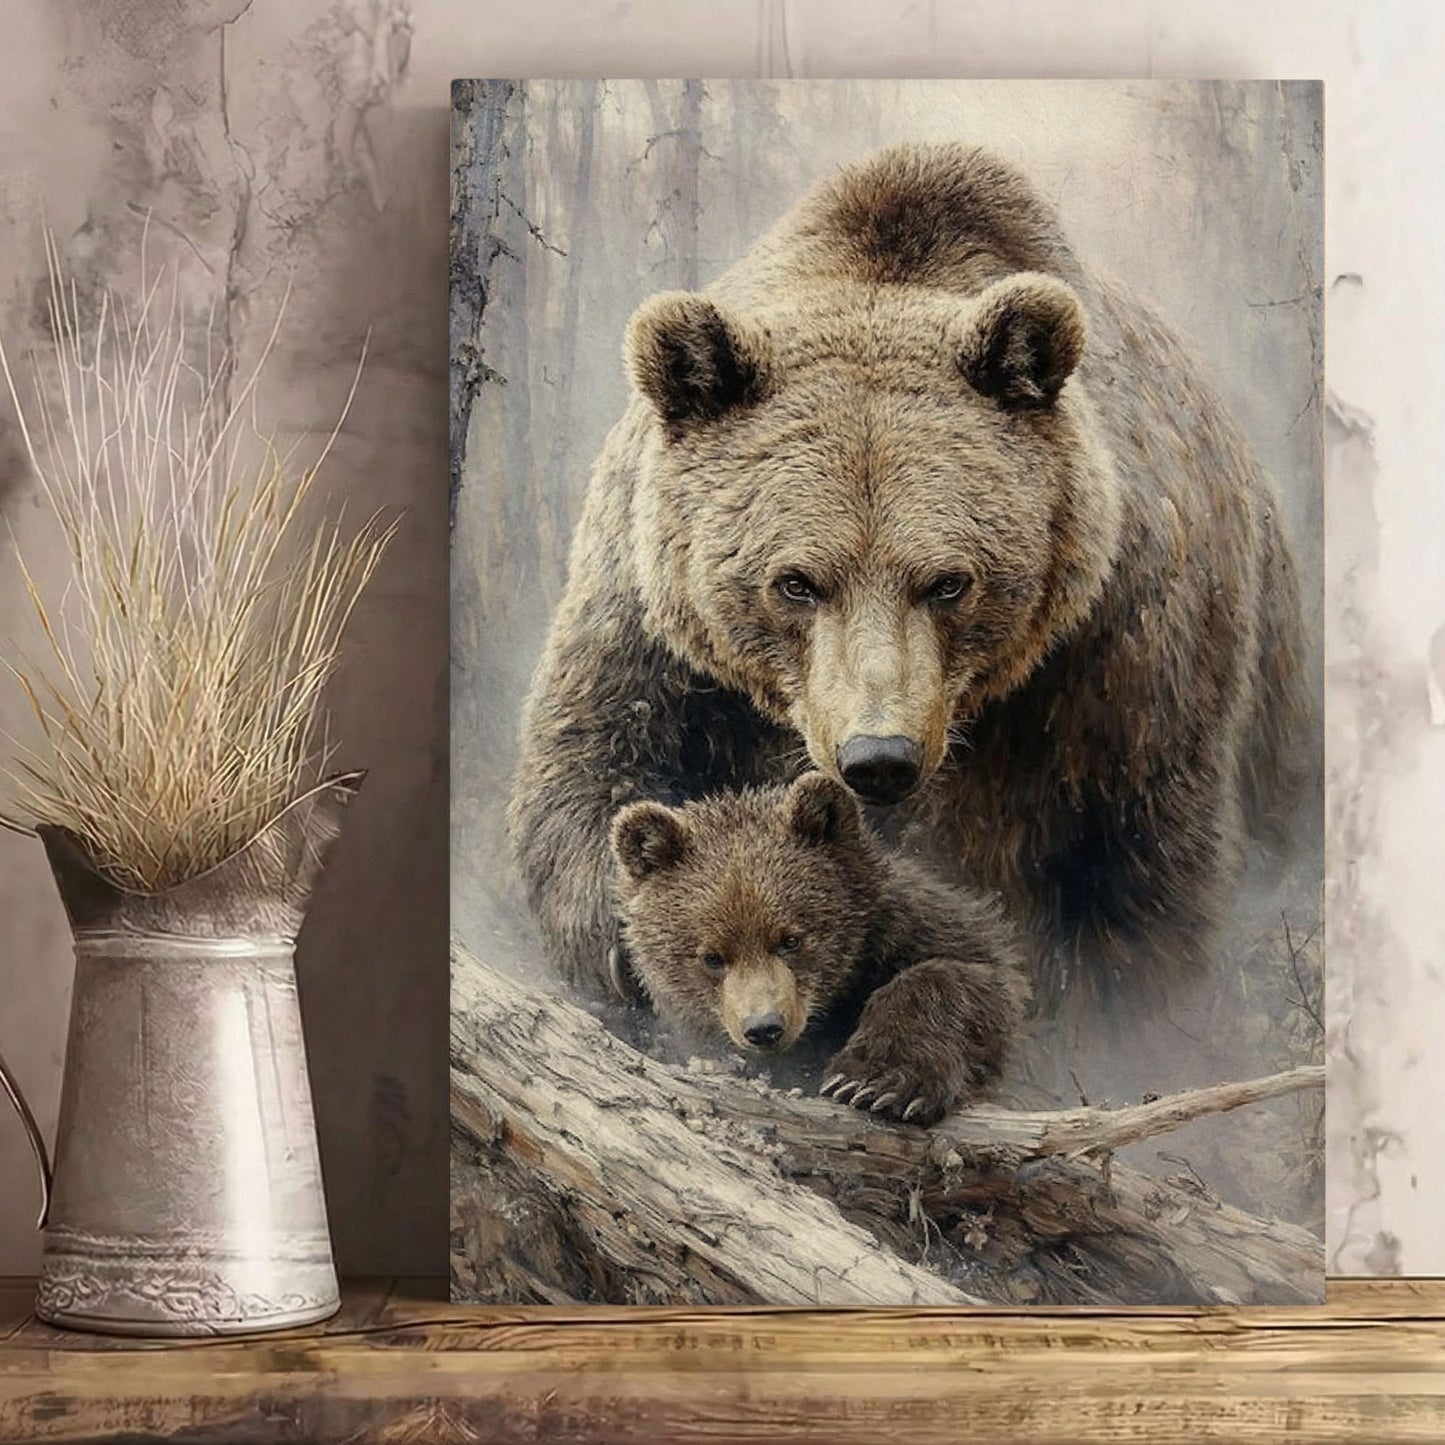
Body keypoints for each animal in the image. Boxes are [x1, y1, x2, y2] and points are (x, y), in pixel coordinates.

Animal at [508, 141, 1311, 1018]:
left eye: (949, 581)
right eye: (795, 581)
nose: (879, 757)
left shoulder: (1116, 658)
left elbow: (1136, 869)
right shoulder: (653, 619)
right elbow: (593, 769)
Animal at [609, 772, 1028, 1124]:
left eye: (790, 939)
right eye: (712, 956)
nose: (765, 1028)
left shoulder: (924, 930)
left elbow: (964, 976)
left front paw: (872, 1084)